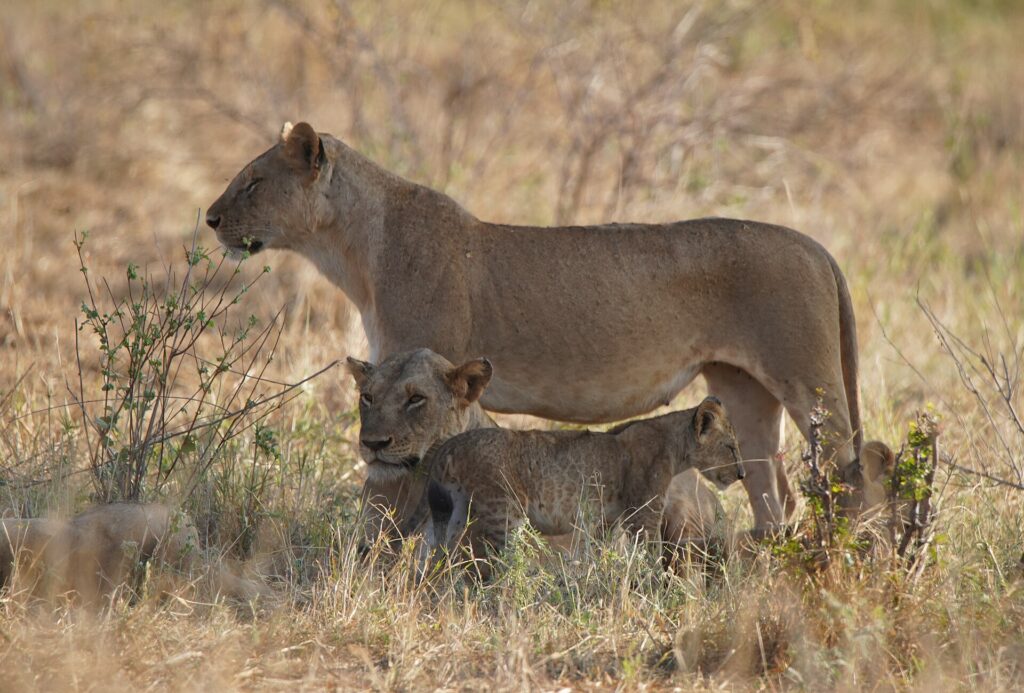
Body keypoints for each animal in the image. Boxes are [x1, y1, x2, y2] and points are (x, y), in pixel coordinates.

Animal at [424, 396, 744, 577]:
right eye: (730, 447)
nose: (741, 474)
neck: (676, 446)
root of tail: (448, 448)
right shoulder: (643, 515)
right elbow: (648, 556)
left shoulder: (609, 520)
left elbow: (603, 554)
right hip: (504, 512)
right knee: (496, 563)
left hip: (455, 513)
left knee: (443, 558)